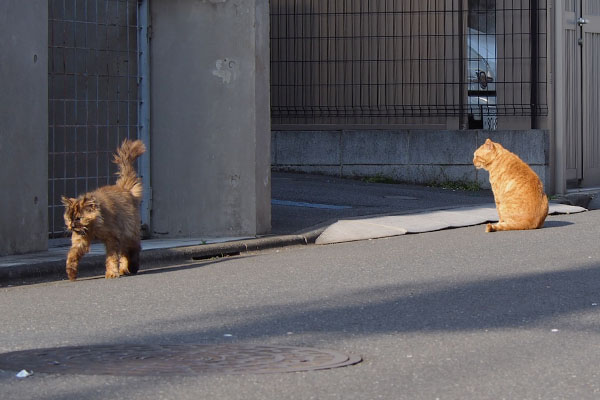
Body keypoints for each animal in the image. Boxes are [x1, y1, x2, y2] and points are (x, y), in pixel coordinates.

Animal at [61, 139, 146, 280]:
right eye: (69, 218)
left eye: (78, 218)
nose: (71, 226)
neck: (94, 228)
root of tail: (125, 188)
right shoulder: (80, 241)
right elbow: (72, 255)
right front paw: (71, 273)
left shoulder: (112, 238)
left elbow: (112, 258)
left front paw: (111, 273)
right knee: (125, 253)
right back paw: (124, 269)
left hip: (128, 232)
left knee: (134, 249)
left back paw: (133, 267)